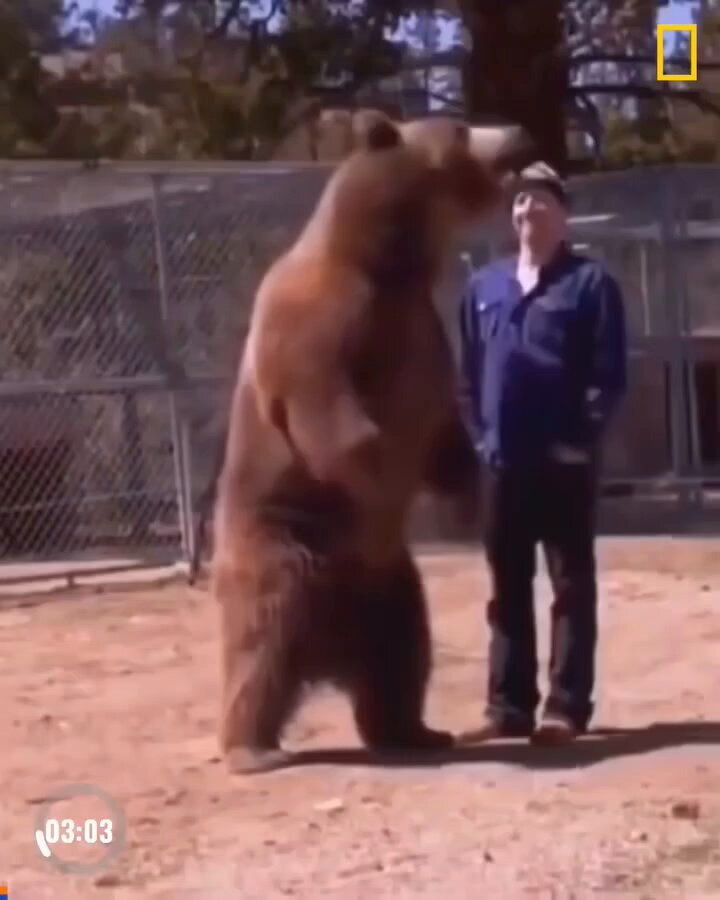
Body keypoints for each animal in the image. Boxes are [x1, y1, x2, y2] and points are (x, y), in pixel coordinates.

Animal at [211, 110, 532, 774]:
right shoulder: (318, 326)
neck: (391, 265)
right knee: (262, 637)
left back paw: (412, 729)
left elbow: (442, 428)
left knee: (402, 651)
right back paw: (253, 747)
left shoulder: (422, 331)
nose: (518, 132)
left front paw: (466, 501)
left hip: (389, 586)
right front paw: (388, 478)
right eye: (459, 127)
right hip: (281, 541)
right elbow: (336, 422)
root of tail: (327, 648)